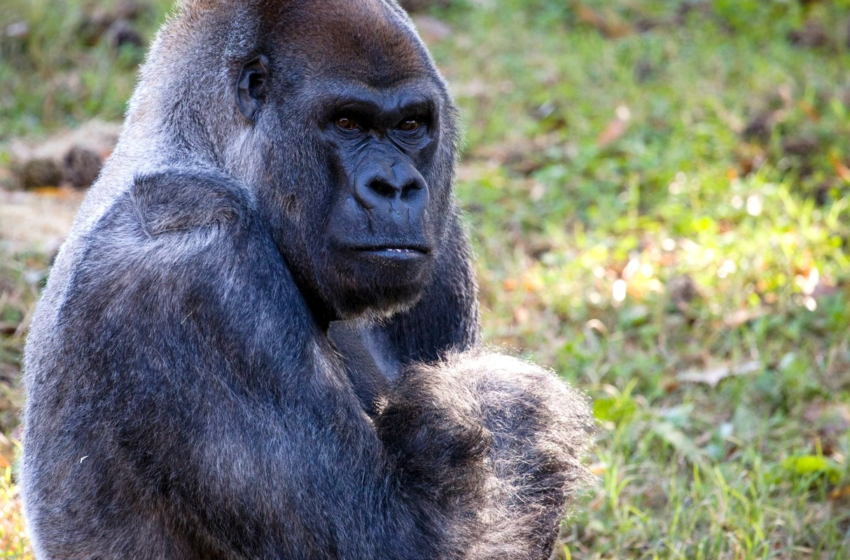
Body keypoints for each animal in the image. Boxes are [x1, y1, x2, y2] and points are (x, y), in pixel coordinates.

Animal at [18, 1, 588, 560]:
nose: (396, 186)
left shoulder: (443, 238)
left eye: (410, 124)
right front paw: (508, 400)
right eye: (346, 122)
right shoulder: (192, 257)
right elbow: (399, 539)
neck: (199, 146)